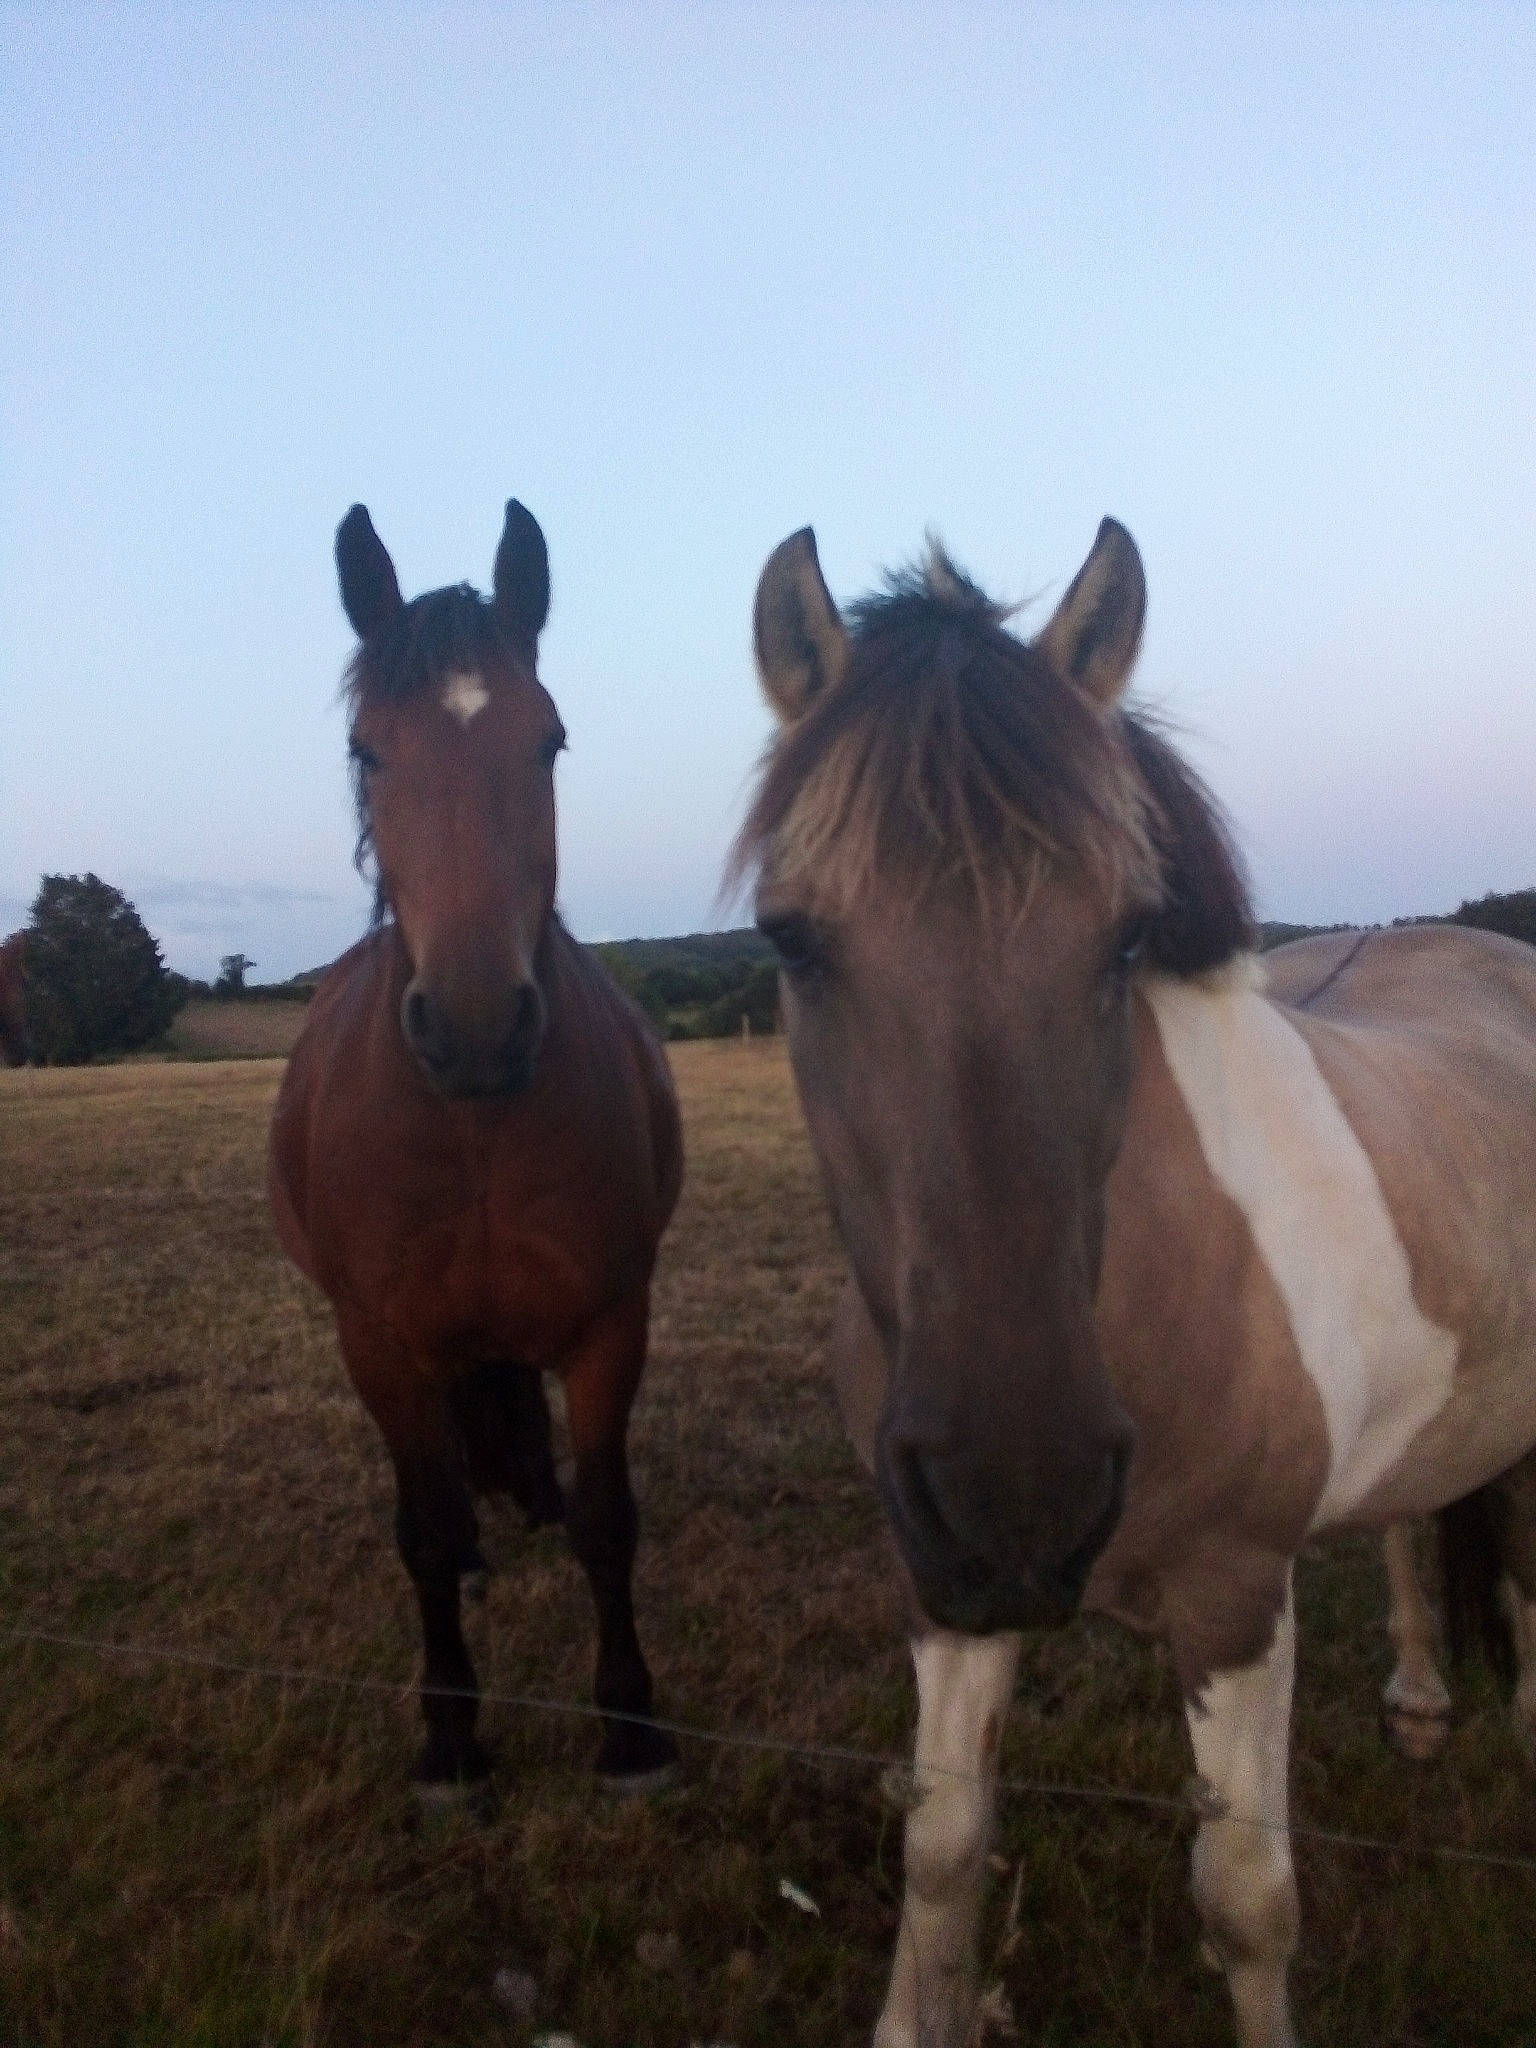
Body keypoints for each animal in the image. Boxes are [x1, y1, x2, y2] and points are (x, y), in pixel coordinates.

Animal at [269, 500, 683, 1798]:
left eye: (548, 742)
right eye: (368, 750)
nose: (476, 1026)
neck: (477, 1128)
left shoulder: (609, 1325)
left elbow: (609, 1518)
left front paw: (630, 1728)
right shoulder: (379, 1343)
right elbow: (425, 1526)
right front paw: (450, 1736)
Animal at [734, 518, 1536, 2048]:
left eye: (1124, 935)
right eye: (791, 938)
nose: (1020, 1492)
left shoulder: (1235, 1599)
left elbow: (1247, 1900)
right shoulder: (939, 1580)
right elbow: (942, 1849)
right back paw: (1419, 1695)